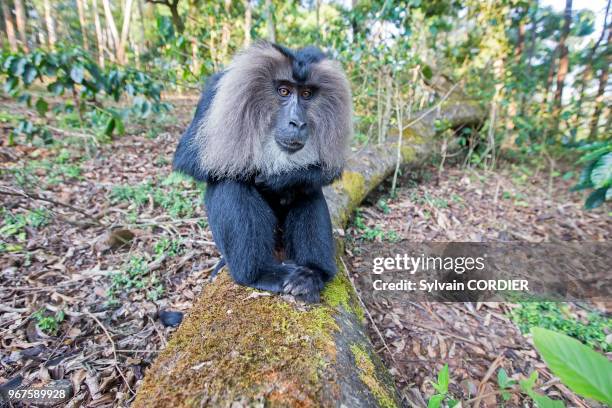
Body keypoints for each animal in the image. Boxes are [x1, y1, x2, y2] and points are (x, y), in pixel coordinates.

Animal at [175, 42, 352, 302]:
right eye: (284, 91)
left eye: (306, 94)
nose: (298, 123)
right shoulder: (215, 91)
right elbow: (190, 157)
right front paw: (270, 177)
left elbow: (323, 173)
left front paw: (283, 179)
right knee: (230, 183)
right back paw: (258, 274)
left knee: (308, 192)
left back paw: (311, 274)